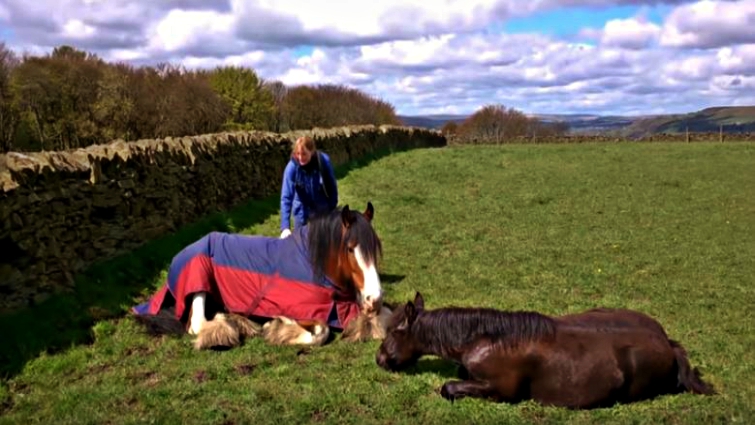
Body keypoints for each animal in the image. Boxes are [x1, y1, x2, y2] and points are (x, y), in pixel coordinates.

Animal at [132, 202, 393, 349]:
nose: (374, 299)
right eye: (349, 248)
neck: (311, 263)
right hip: (199, 279)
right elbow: (320, 333)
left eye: (376, 247)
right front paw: (278, 327)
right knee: (196, 324)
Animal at [376, 292, 716, 409]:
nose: (379, 358)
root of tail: (667, 342)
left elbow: (448, 387)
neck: (483, 338)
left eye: (394, 331)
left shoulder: (500, 390)